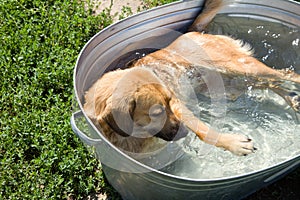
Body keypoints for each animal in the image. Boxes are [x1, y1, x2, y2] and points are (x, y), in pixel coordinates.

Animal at [84, 0, 300, 156]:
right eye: (156, 113)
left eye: (169, 102)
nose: (184, 133)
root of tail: (191, 32)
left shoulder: (180, 107)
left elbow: (203, 130)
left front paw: (234, 144)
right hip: (230, 85)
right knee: (270, 83)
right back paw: (293, 99)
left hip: (240, 66)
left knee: (286, 74)